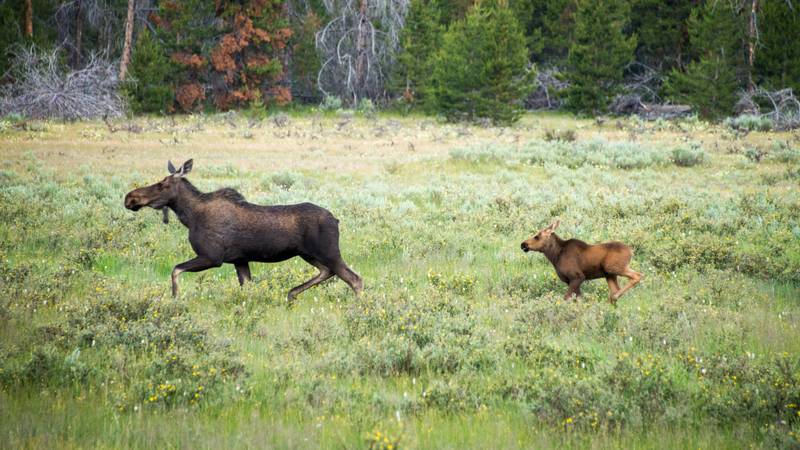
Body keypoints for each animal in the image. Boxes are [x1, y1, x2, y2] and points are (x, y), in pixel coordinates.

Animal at [124, 160, 362, 300]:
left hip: (327, 251)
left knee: (354, 279)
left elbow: (175, 270)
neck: (189, 217)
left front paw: (174, 299)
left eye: (162, 184)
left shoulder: (213, 257)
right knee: (327, 272)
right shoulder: (239, 260)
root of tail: (336, 220)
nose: (130, 198)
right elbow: (247, 289)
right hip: (308, 254)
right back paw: (291, 293)